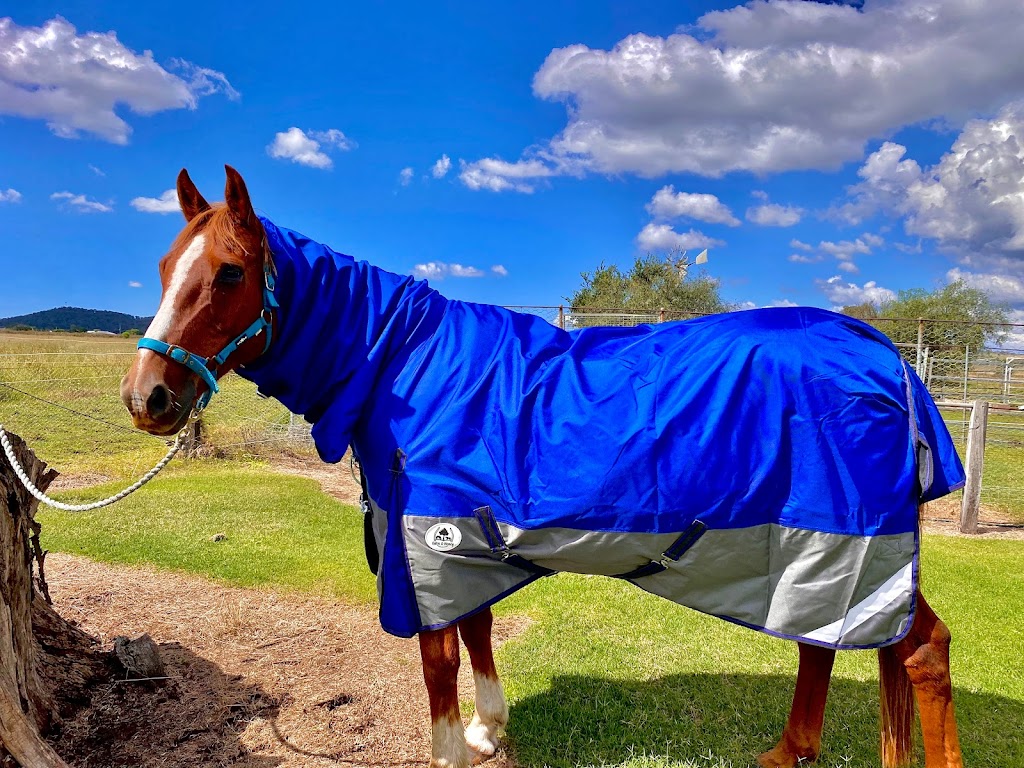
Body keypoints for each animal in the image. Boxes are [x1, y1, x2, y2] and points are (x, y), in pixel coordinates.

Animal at [121, 165, 965, 768]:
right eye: (162, 266)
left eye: (230, 272)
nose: (145, 396)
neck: (403, 362)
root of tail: (888, 358)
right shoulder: (462, 541)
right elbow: (478, 630)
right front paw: (489, 731)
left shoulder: (425, 546)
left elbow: (437, 661)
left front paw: (453, 750)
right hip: (814, 553)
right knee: (820, 639)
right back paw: (787, 752)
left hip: (855, 542)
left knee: (920, 649)